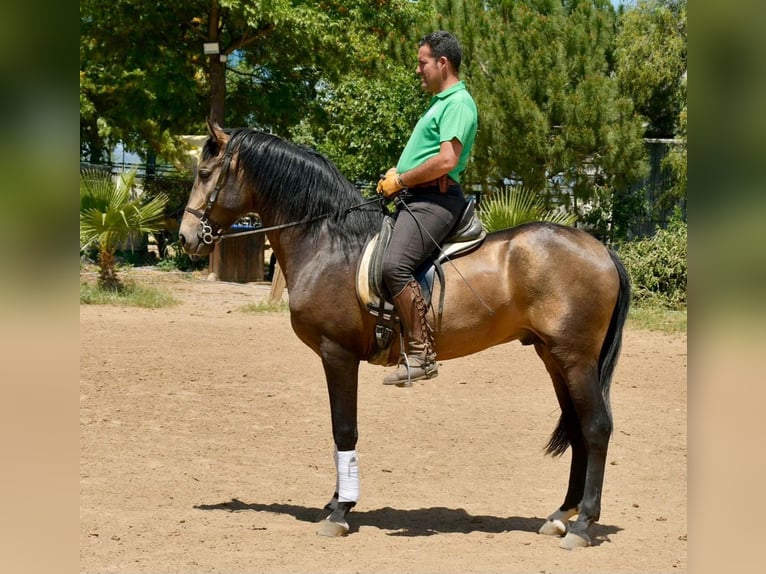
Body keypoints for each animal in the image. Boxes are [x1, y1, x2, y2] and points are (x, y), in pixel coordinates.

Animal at [178, 119, 632, 552]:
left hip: (575, 358)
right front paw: (337, 501)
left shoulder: (336, 353)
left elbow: (344, 429)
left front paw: (340, 511)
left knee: (595, 428)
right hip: (553, 356)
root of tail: (600, 249)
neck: (328, 241)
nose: (185, 237)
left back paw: (583, 524)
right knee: (578, 428)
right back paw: (560, 516)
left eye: (204, 173)